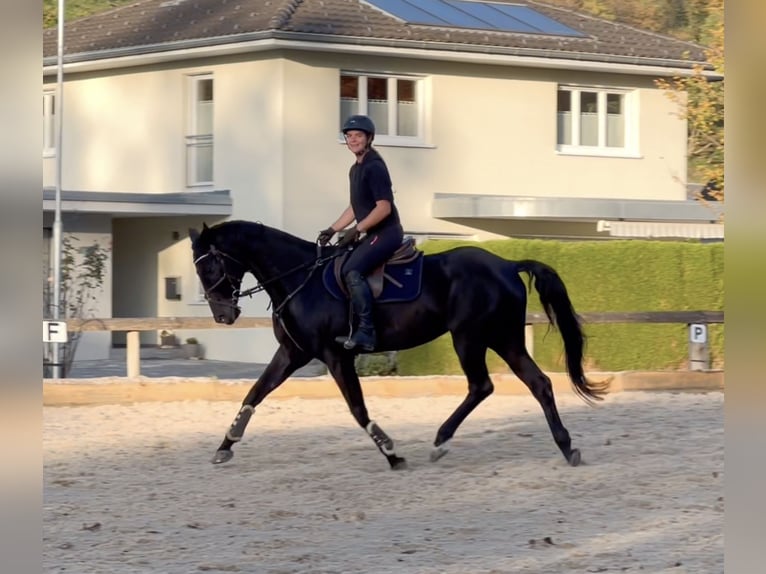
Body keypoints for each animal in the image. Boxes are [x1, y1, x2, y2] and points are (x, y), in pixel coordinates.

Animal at [189, 222, 608, 472]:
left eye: (209, 267)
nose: (223, 315)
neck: (299, 279)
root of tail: (506, 265)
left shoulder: (335, 355)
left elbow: (357, 409)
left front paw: (393, 453)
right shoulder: (293, 354)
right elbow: (254, 394)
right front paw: (225, 445)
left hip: (470, 337)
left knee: (482, 385)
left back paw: (441, 441)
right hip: (503, 338)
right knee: (538, 384)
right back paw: (566, 447)